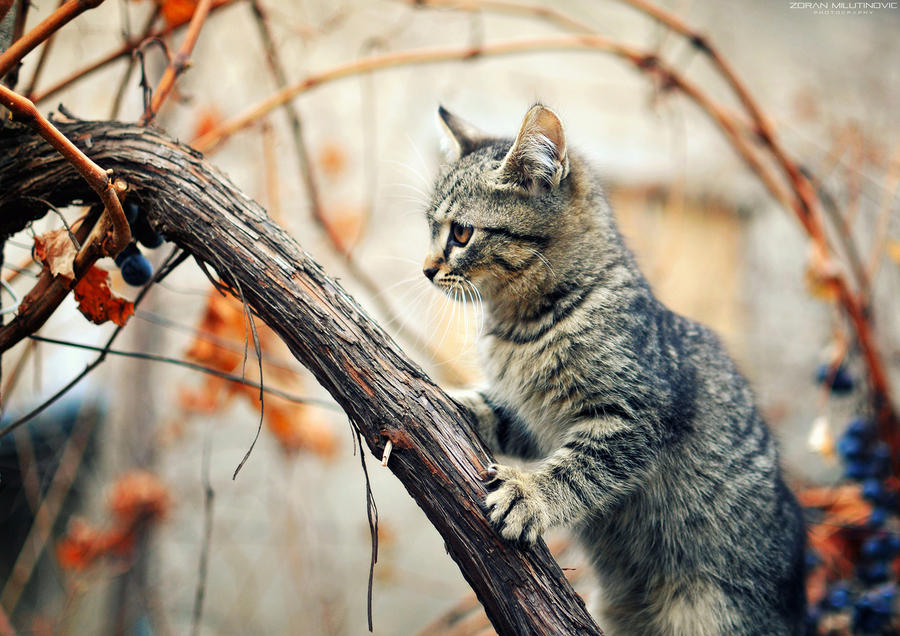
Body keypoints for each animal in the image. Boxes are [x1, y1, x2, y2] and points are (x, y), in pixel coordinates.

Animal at [422, 105, 808, 636]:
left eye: (460, 233)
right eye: (429, 229)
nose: (425, 269)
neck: (520, 326)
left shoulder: (634, 415)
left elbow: (581, 468)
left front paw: (532, 495)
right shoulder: (531, 417)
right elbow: (498, 412)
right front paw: (456, 402)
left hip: (712, 607)